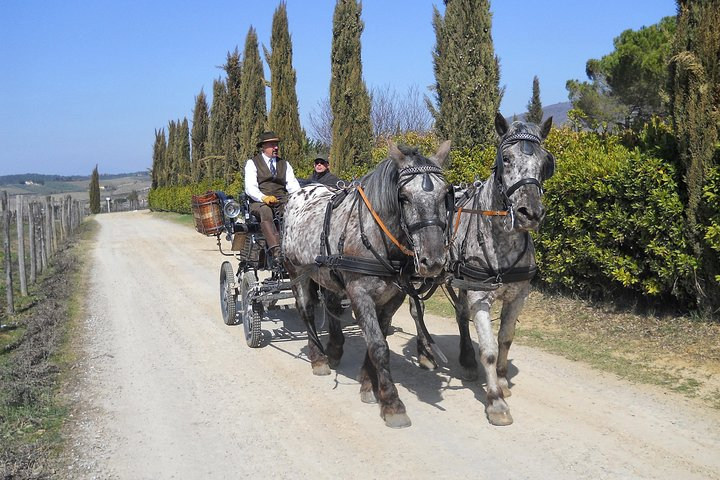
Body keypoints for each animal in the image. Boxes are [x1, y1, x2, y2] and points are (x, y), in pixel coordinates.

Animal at [282, 142, 448, 428]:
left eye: (445, 194)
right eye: (404, 197)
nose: (434, 259)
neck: (377, 236)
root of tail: (299, 193)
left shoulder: (393, 297)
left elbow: (378, 338)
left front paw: (368, 385)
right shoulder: (360, 293)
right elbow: (379, 347)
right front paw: (392, 403)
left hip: (327, 273)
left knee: (332, 306)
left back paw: (334, 349)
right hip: (298, 272)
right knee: (307, 311)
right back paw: (318, 358)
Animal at [410, 113, 556, 428]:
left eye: (545, 162)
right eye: (506, 158)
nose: (530, 213)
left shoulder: (517, 296)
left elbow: (505, 340)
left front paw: (501, 381)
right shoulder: (480, 295)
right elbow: (488, 349)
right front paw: (495, 402)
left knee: (460, 314)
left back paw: (466, 361)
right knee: (417, 309)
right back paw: (424, 353)